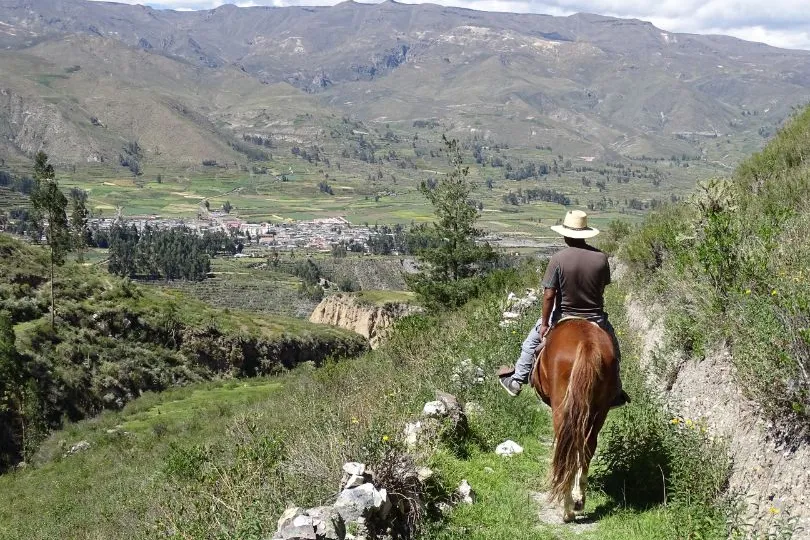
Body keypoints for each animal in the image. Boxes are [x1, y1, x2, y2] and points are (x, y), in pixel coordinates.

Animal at [532, 318, 620, 520]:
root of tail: (587, 344)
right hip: (600, 410)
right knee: (587, 446)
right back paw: (579, 501)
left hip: (562, 407)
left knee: (567, 449)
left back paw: (568, 510)